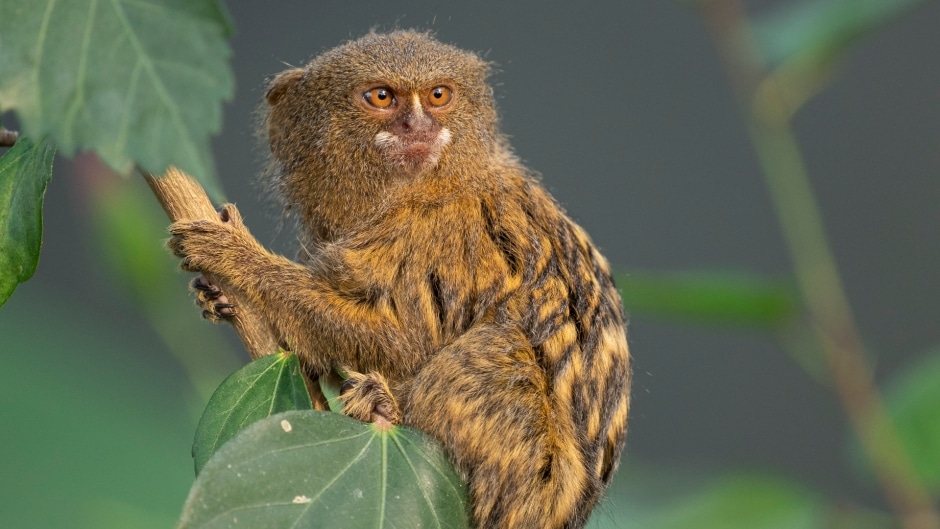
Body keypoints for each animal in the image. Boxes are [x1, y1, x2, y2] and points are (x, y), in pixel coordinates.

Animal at [169, 30, 631, 529]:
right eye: (381, 97)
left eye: (438, 95)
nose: (418, 126)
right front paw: (216, 295)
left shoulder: (437, 233)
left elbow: (400, 340)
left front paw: (235, 257)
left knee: (495, 345)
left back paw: (386, 404)